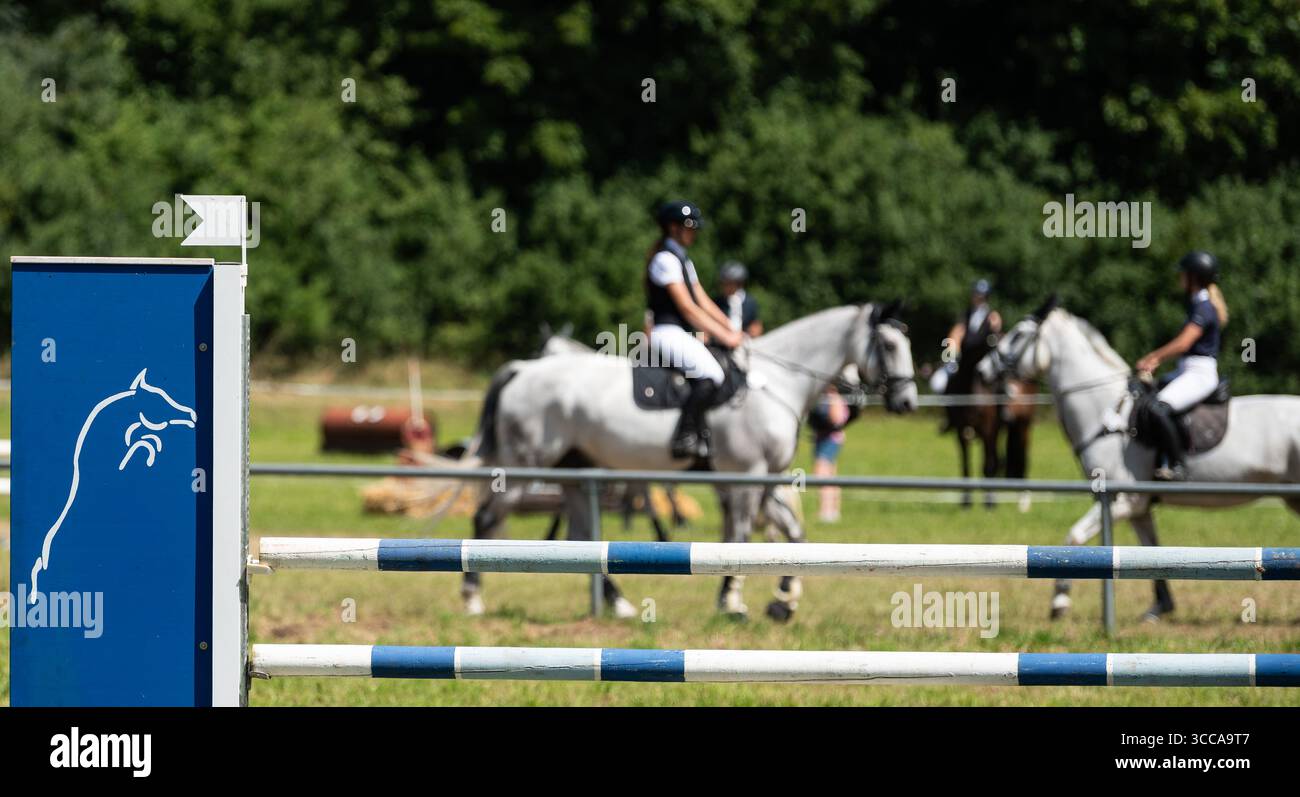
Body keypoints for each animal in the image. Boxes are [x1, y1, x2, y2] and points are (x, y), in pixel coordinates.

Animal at [463, 303, 918, 621]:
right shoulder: (747, 477)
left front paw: (783, 603)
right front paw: (732, 603)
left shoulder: (768, 480)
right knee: (486, 519)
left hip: (574, 471)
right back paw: (472, 598)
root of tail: (523, 369)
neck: (776, 383)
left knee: (580, 538)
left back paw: (619, 604)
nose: (907, 402)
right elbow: (741, 539)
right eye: (889, 345)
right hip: (525, 470)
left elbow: (794, 535)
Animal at [996, 297, 1300, 621]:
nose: (987, 366)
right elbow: (1150, 549)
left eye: (1018, 334)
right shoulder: (1138, 507)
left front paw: (1060, 602)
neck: (1104, 411)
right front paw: (1160, 607)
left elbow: (1073, 538)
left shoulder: (1122, 500)